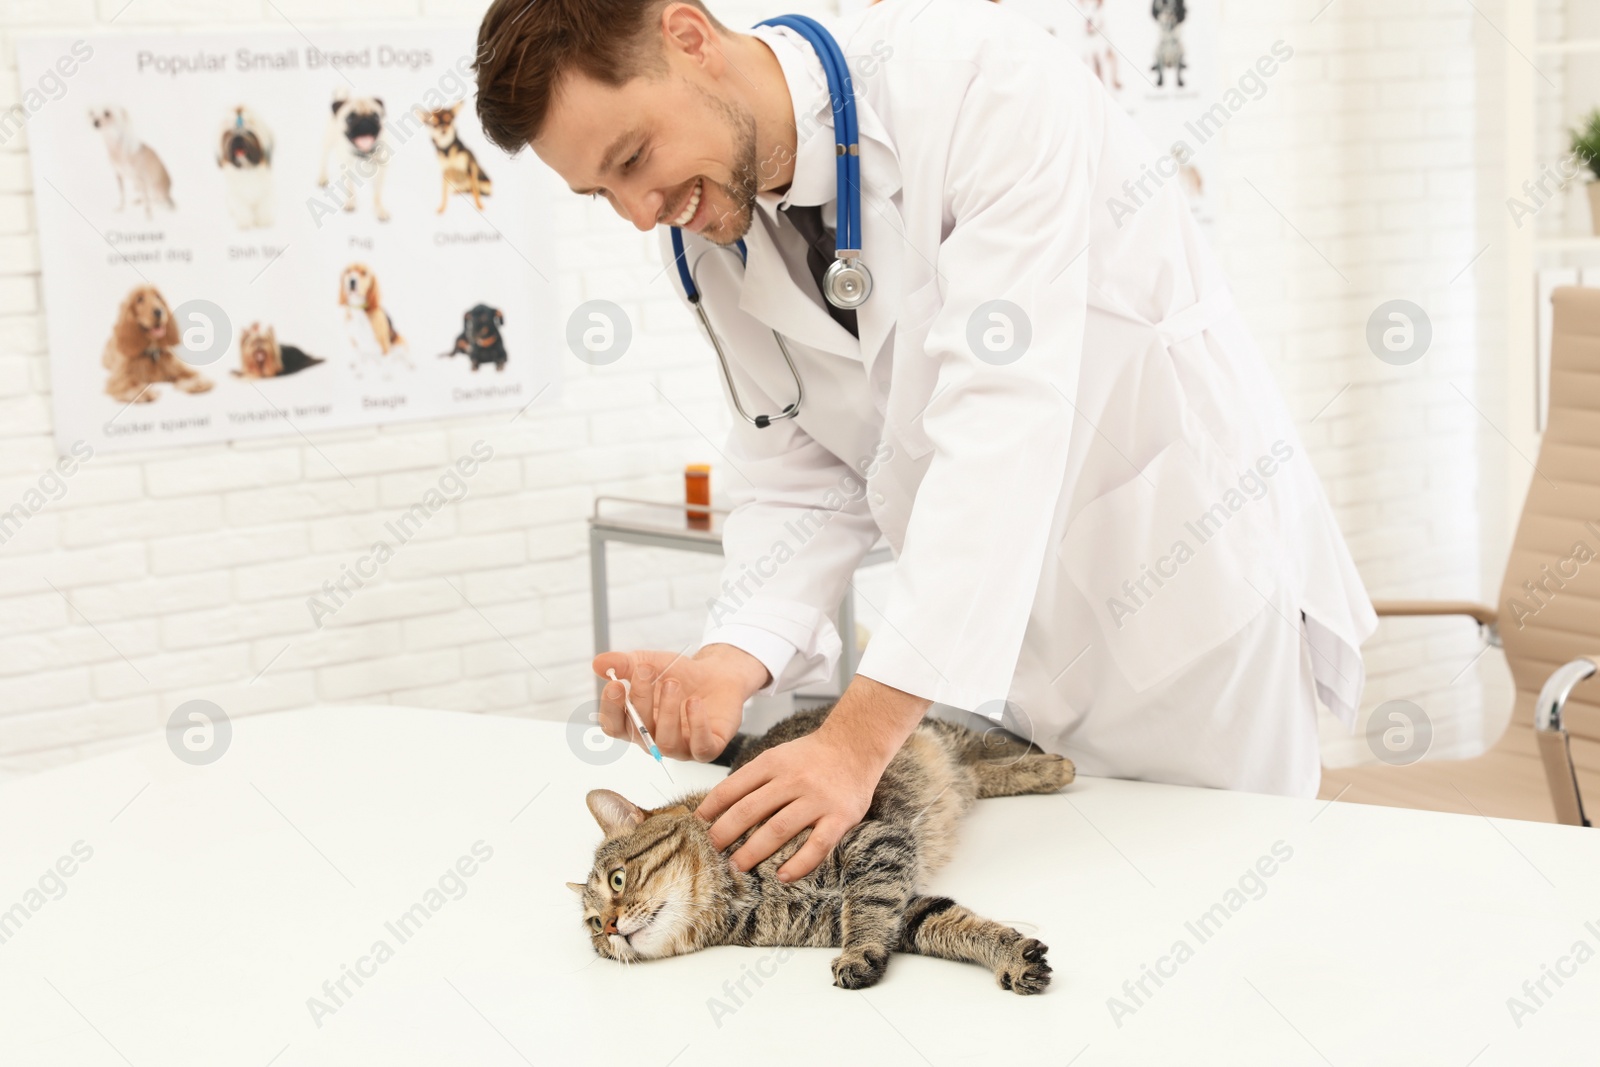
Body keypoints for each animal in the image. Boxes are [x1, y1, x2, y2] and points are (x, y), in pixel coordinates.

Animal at [566, 710, 1075, 991]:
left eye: (617, 879)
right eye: (591, 926)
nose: (608, 927)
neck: (736, 898)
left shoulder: (872, 841)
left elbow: (867, 907)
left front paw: (858, 951)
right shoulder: (876, 913)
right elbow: (948, 923)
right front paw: (1012, 956)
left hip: (939, 732)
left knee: (988, 744)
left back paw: (1052, 763)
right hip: (955, 777)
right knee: (975, 773)